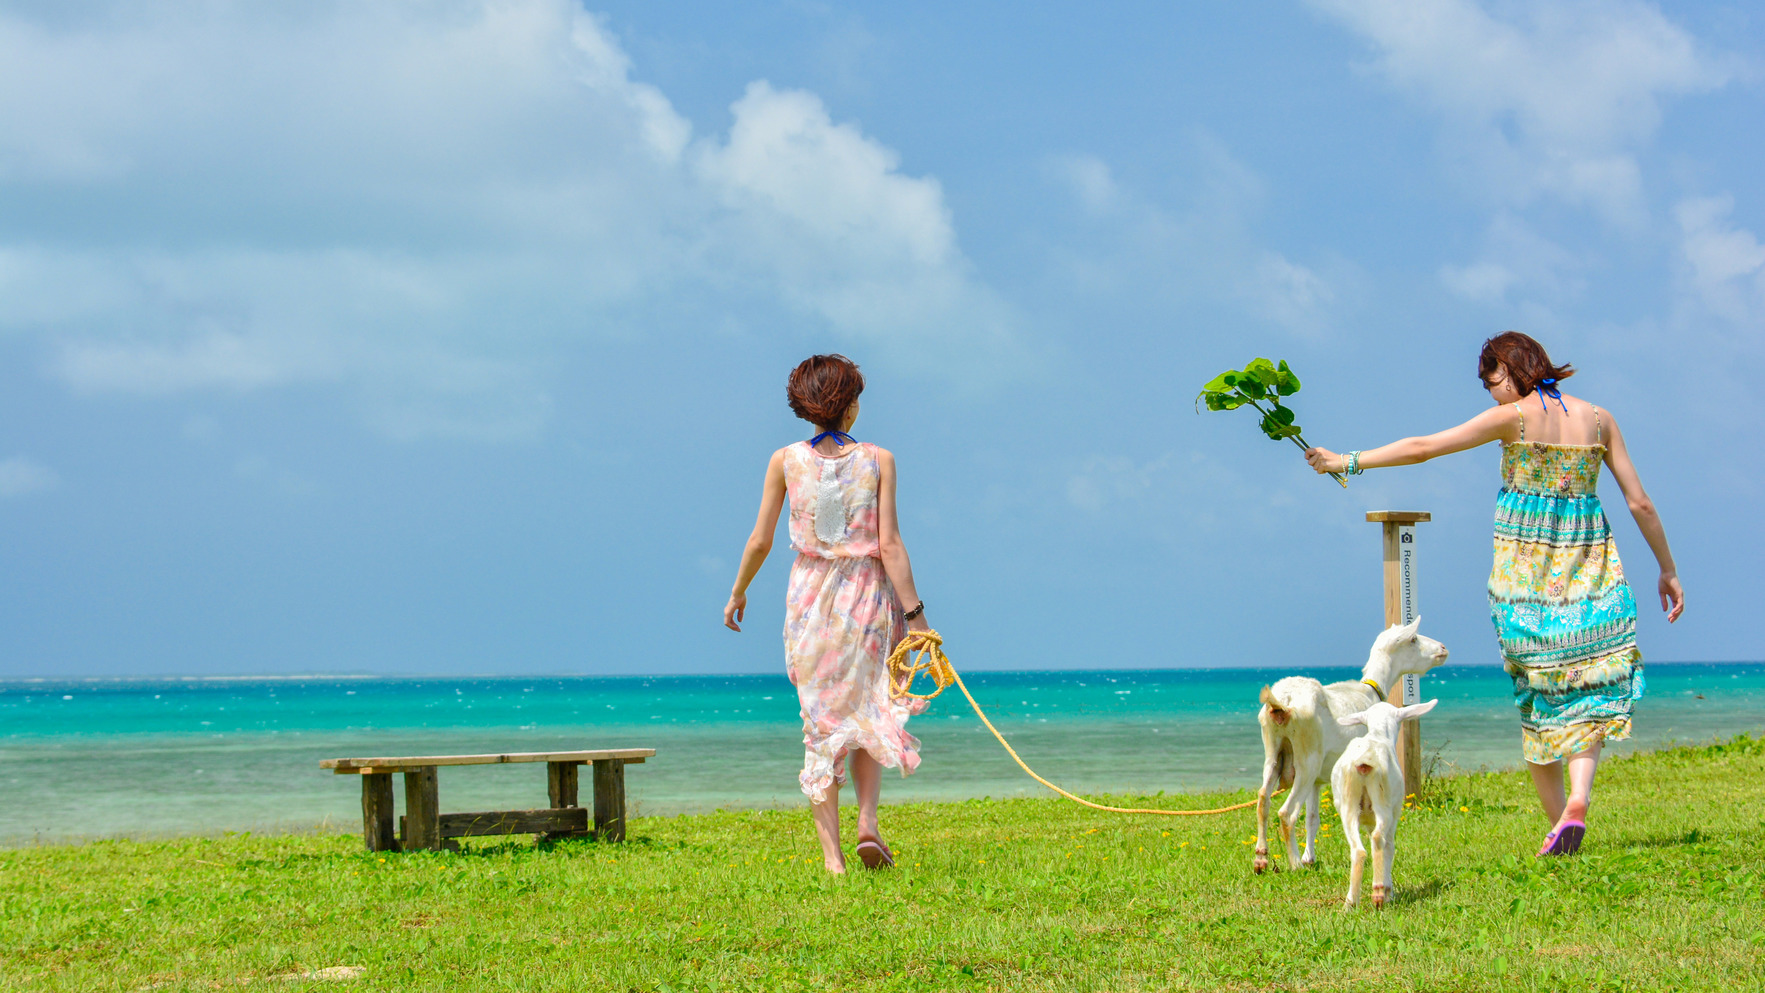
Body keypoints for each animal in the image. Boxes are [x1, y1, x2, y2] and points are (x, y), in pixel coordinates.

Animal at [1249, 617, 1440, 874]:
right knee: (1286, 813)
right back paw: (1295, 864)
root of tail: (1284, 702)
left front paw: (1311, 857)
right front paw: (1306, 860)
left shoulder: (1318, 781)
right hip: (1307, 760)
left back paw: (1261, 858)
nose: (1443, 649)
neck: (1370, 690)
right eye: (1414, 638)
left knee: (1263, 800)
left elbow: (1312, 818)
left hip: (1274, 752)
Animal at [1334, 698, 1433, 910]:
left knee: (1359, 850)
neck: (1378, 733)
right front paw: (1390, 891)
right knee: (1380, 839)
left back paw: (1350, 903)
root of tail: (1365, 759)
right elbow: (1390, 846)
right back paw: (1379, 892)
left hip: (1349, 805)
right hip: (1383, 801)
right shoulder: (1395, 813)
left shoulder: (1368, 821)